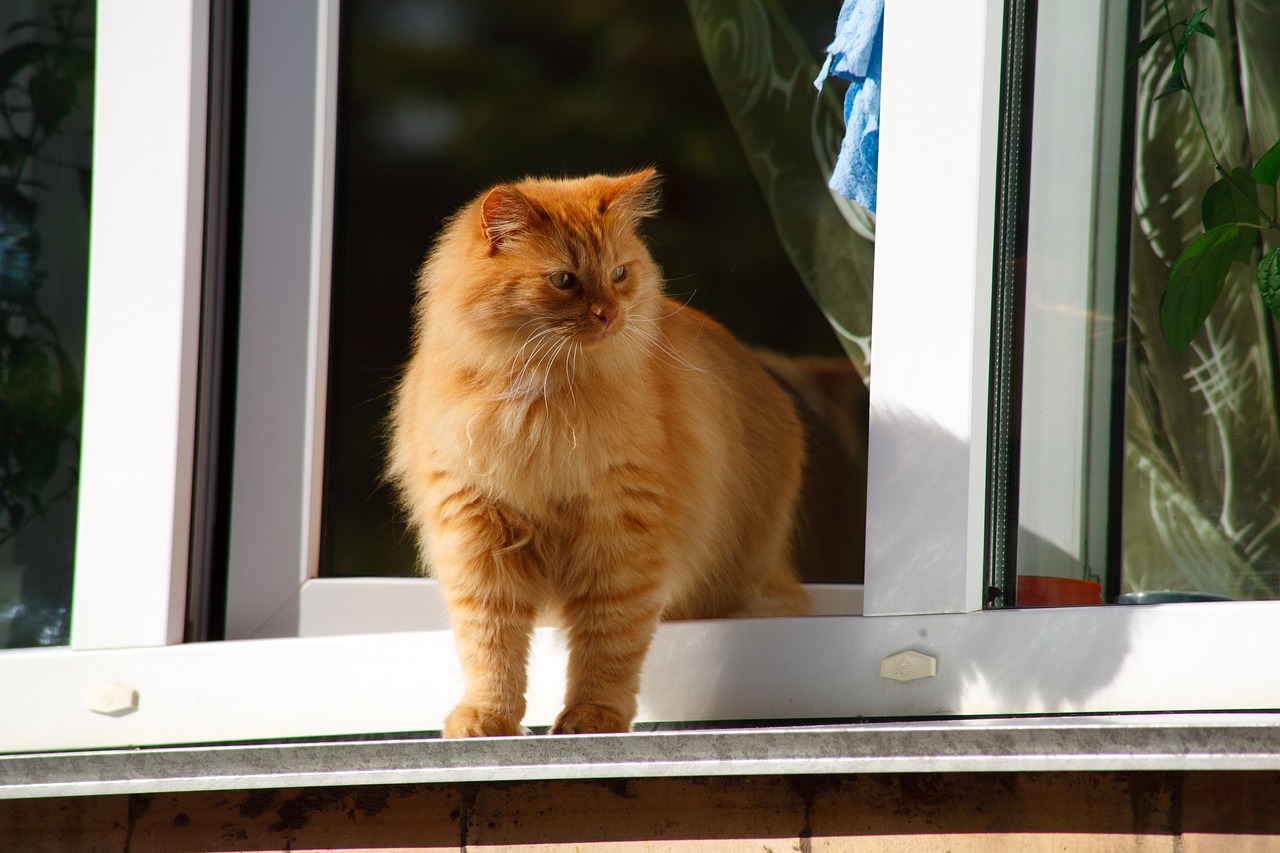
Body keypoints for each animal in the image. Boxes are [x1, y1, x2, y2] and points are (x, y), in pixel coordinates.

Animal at [386, 169, 808, 732]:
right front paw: (488, 717)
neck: (538, 401)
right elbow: (490, 647)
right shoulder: (476, 538)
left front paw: (592, 716)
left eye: (619, 273)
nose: (610, 313)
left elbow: (608, 642)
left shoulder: (620, 533)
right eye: (564, 280)